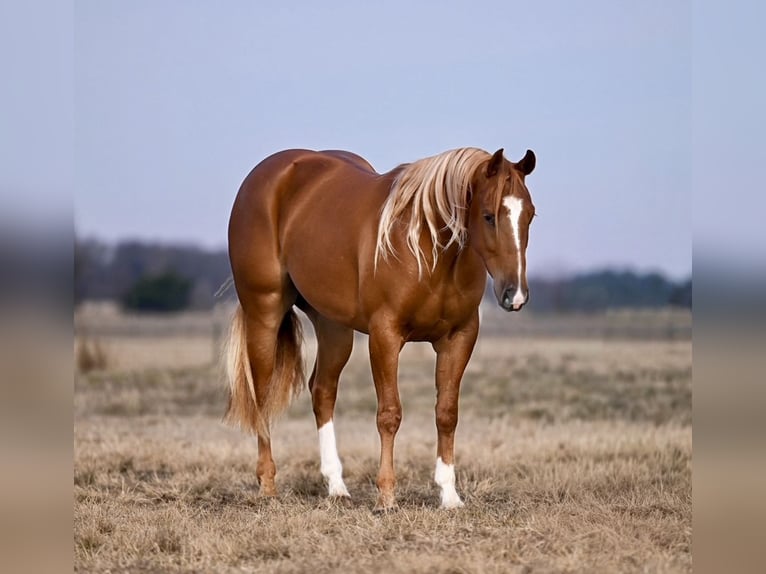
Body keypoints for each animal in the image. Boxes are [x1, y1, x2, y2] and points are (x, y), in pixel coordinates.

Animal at [223, 146, 536, 511]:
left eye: (530, 215)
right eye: (488, 216)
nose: (515, 295)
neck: (427, 248)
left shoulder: (459, 337)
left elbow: (447, 413)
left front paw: (449, 495)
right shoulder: (385, 335)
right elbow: (389, 414)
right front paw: (386, 496)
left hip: (334, 328)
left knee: (322, 392)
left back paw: (336, 486)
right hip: (265, 312)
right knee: (261, 394)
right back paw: (268, 486)